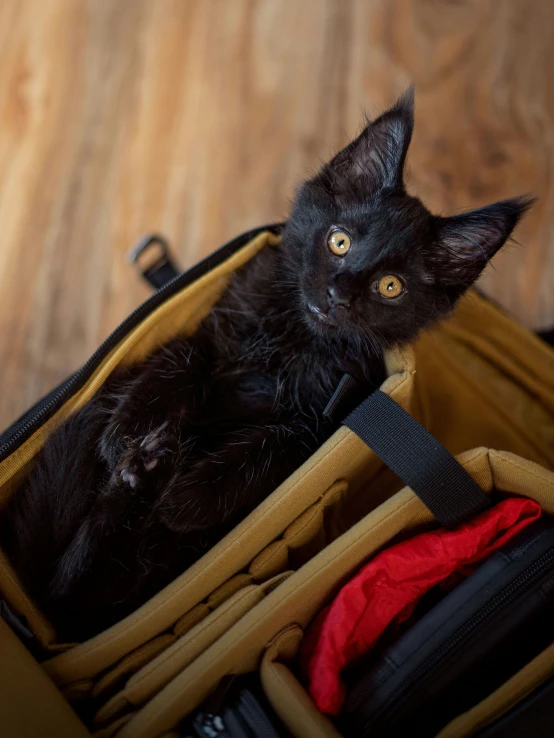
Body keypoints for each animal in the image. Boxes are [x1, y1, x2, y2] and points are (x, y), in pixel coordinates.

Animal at [3, 87, 532, 640]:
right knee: (68, 583)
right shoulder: (212, 333)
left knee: (77, 586)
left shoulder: (332, 407)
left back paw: (152, 479)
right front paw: (127, 433)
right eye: (338, 240)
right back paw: (143, 467)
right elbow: (182, 356)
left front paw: (187, 499)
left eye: (391, 286)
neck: (292, 336)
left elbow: (278, 442)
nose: (338, 295)